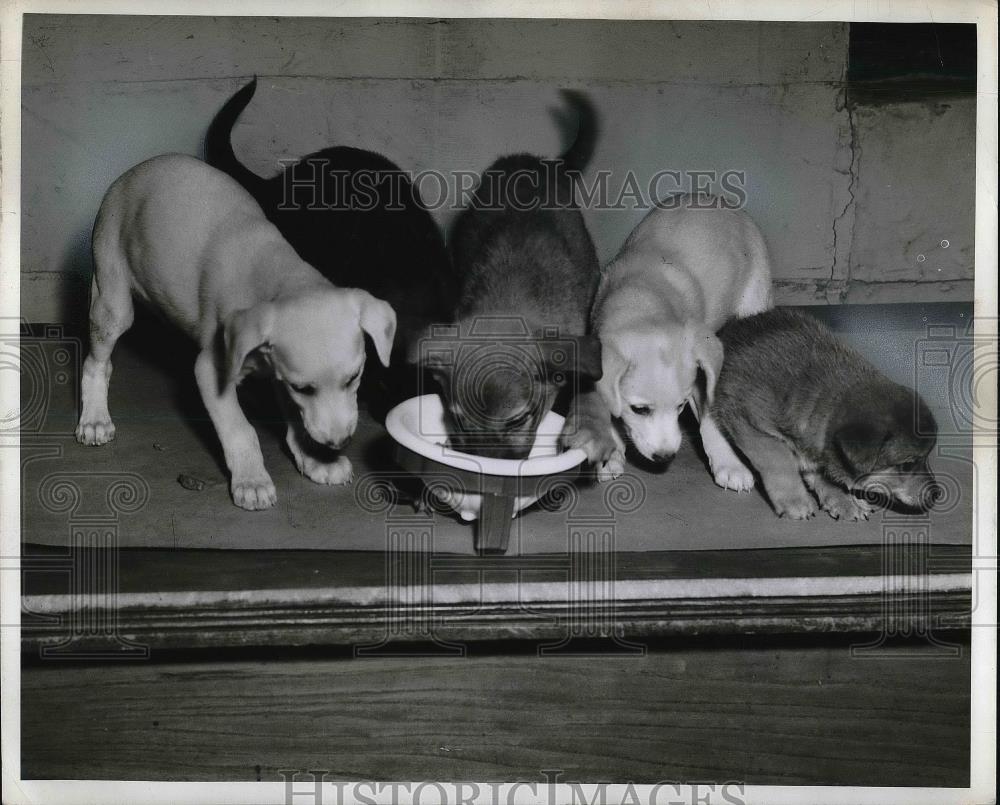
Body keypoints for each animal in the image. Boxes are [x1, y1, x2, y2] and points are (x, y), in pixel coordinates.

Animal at [76, 152, 396, 508]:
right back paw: (94, 418)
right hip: (113, 302)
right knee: (96, 362)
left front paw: (315, 460)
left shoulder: (276, 371)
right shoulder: (211, 370)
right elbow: (241, 429)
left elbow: (295, 417)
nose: (337, 442)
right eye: (303, 388)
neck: (282, 279)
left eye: (354, 378)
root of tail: (131, 172)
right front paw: (252, 480)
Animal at [592, 193, 772, 490]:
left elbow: (710, 421)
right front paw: (611, 453)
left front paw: (729, 465)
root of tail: (714, 198)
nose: (665, 457)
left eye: (680, 406)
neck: (641, 302)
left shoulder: (701, 379)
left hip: (756, 298)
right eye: (639, 410)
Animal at [712, 304, 936, 520]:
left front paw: (844, 501)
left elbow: (825, 477)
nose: (936, 494)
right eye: (907, 465)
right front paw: (795, 501)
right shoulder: (748, 422)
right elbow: (779, 460)